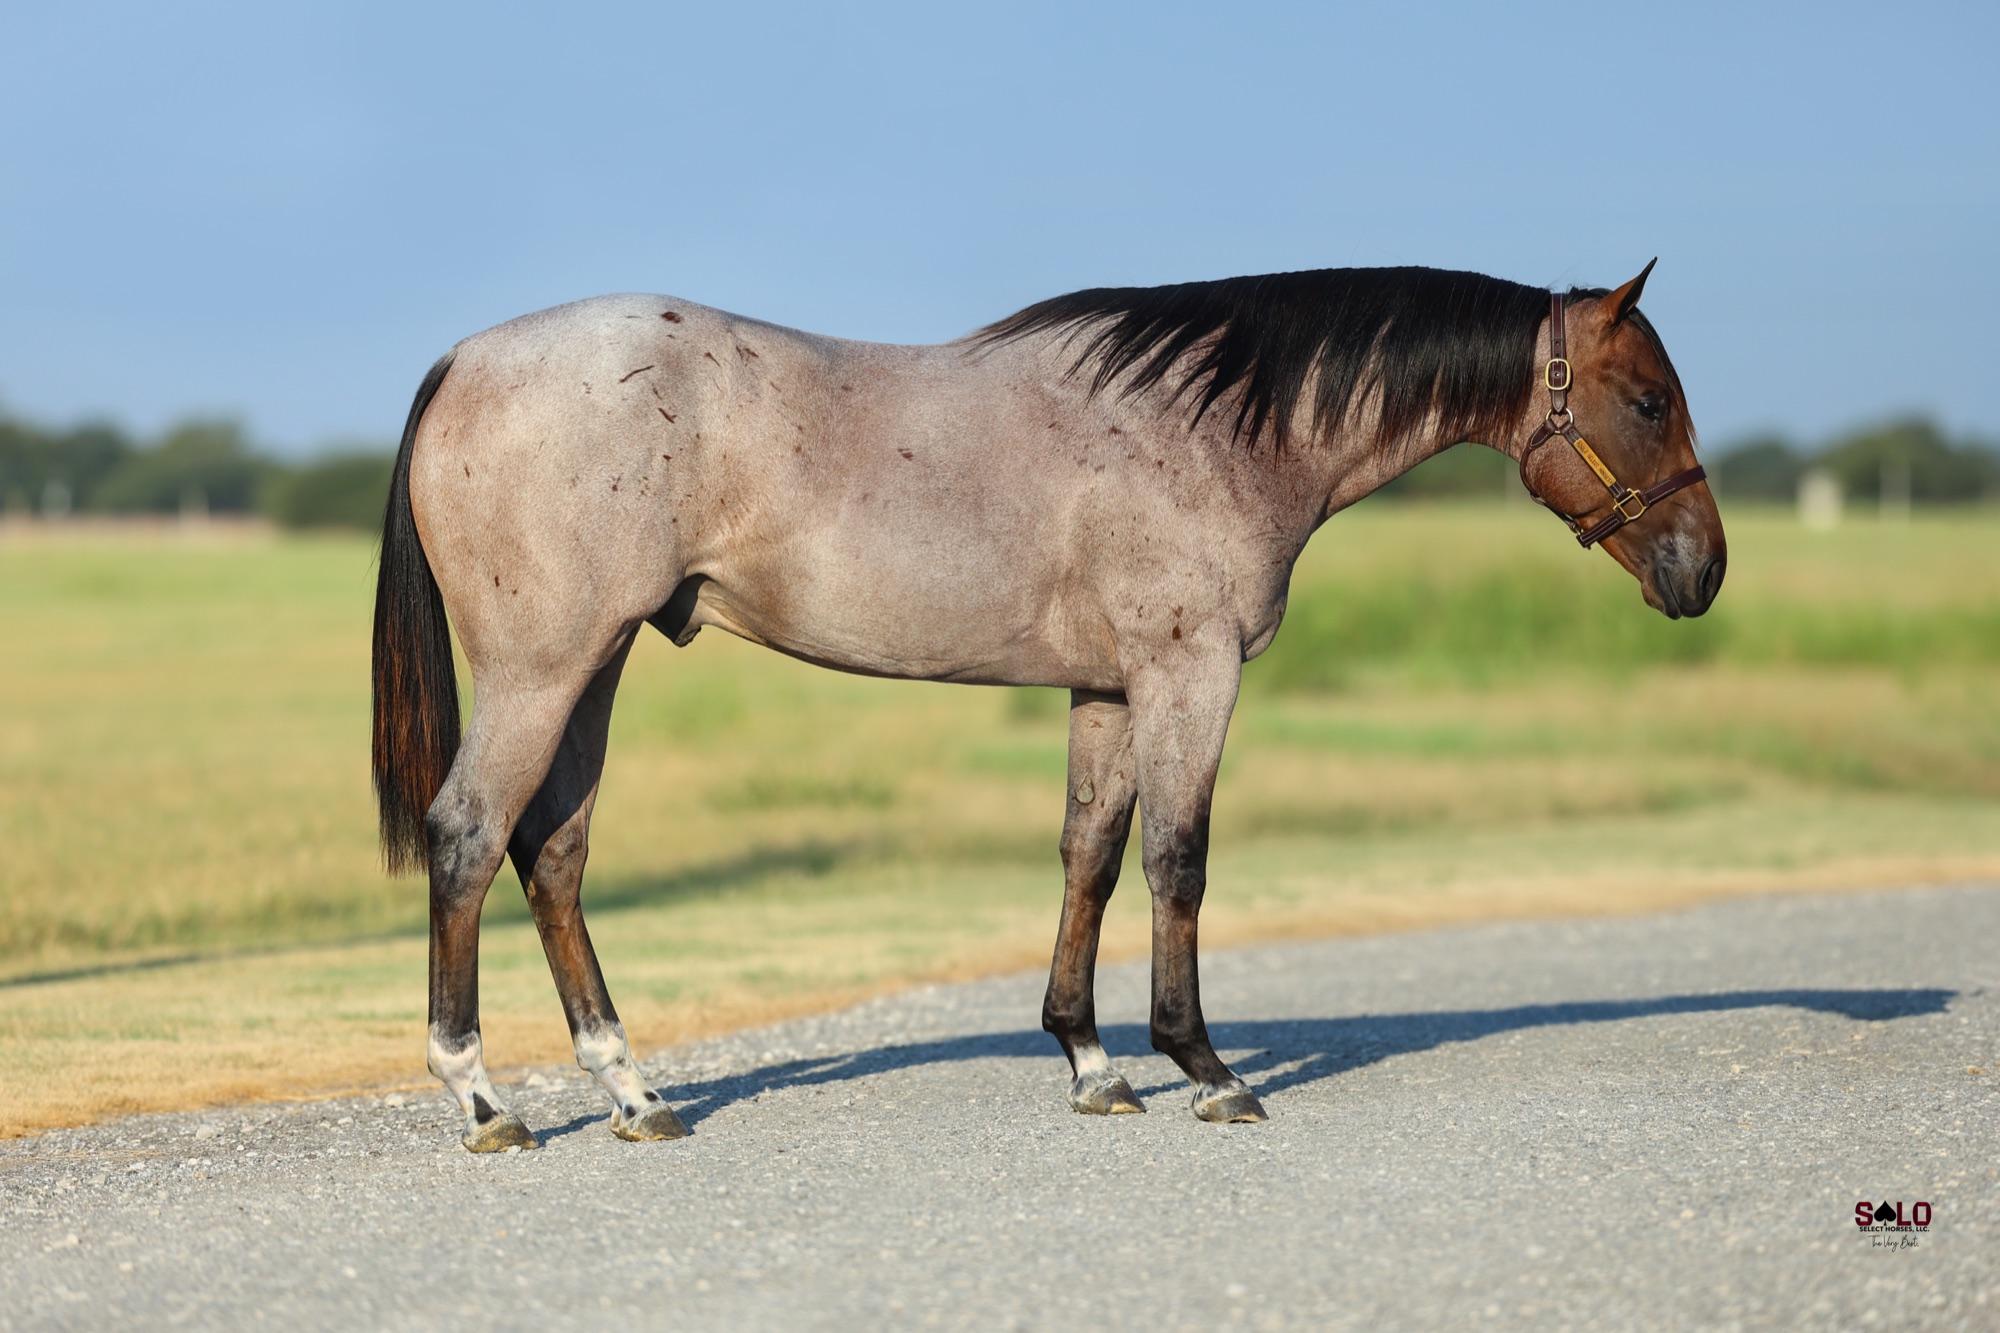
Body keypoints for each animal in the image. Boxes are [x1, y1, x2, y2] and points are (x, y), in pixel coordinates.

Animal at [371, 261, 1725, 1151]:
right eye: (1647, 402)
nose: (1700, 572)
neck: (1218, 426)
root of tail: (464, 359)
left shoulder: (1107, 688)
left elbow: (1090, 856)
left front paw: (1089, 1062)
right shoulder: (1189, 672)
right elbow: (1177, 859)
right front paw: (1203, 1067)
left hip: (594, 668)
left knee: (554, 853)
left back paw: (632, 1093)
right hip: (545, 670)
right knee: (469, 837)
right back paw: (482, 1099)